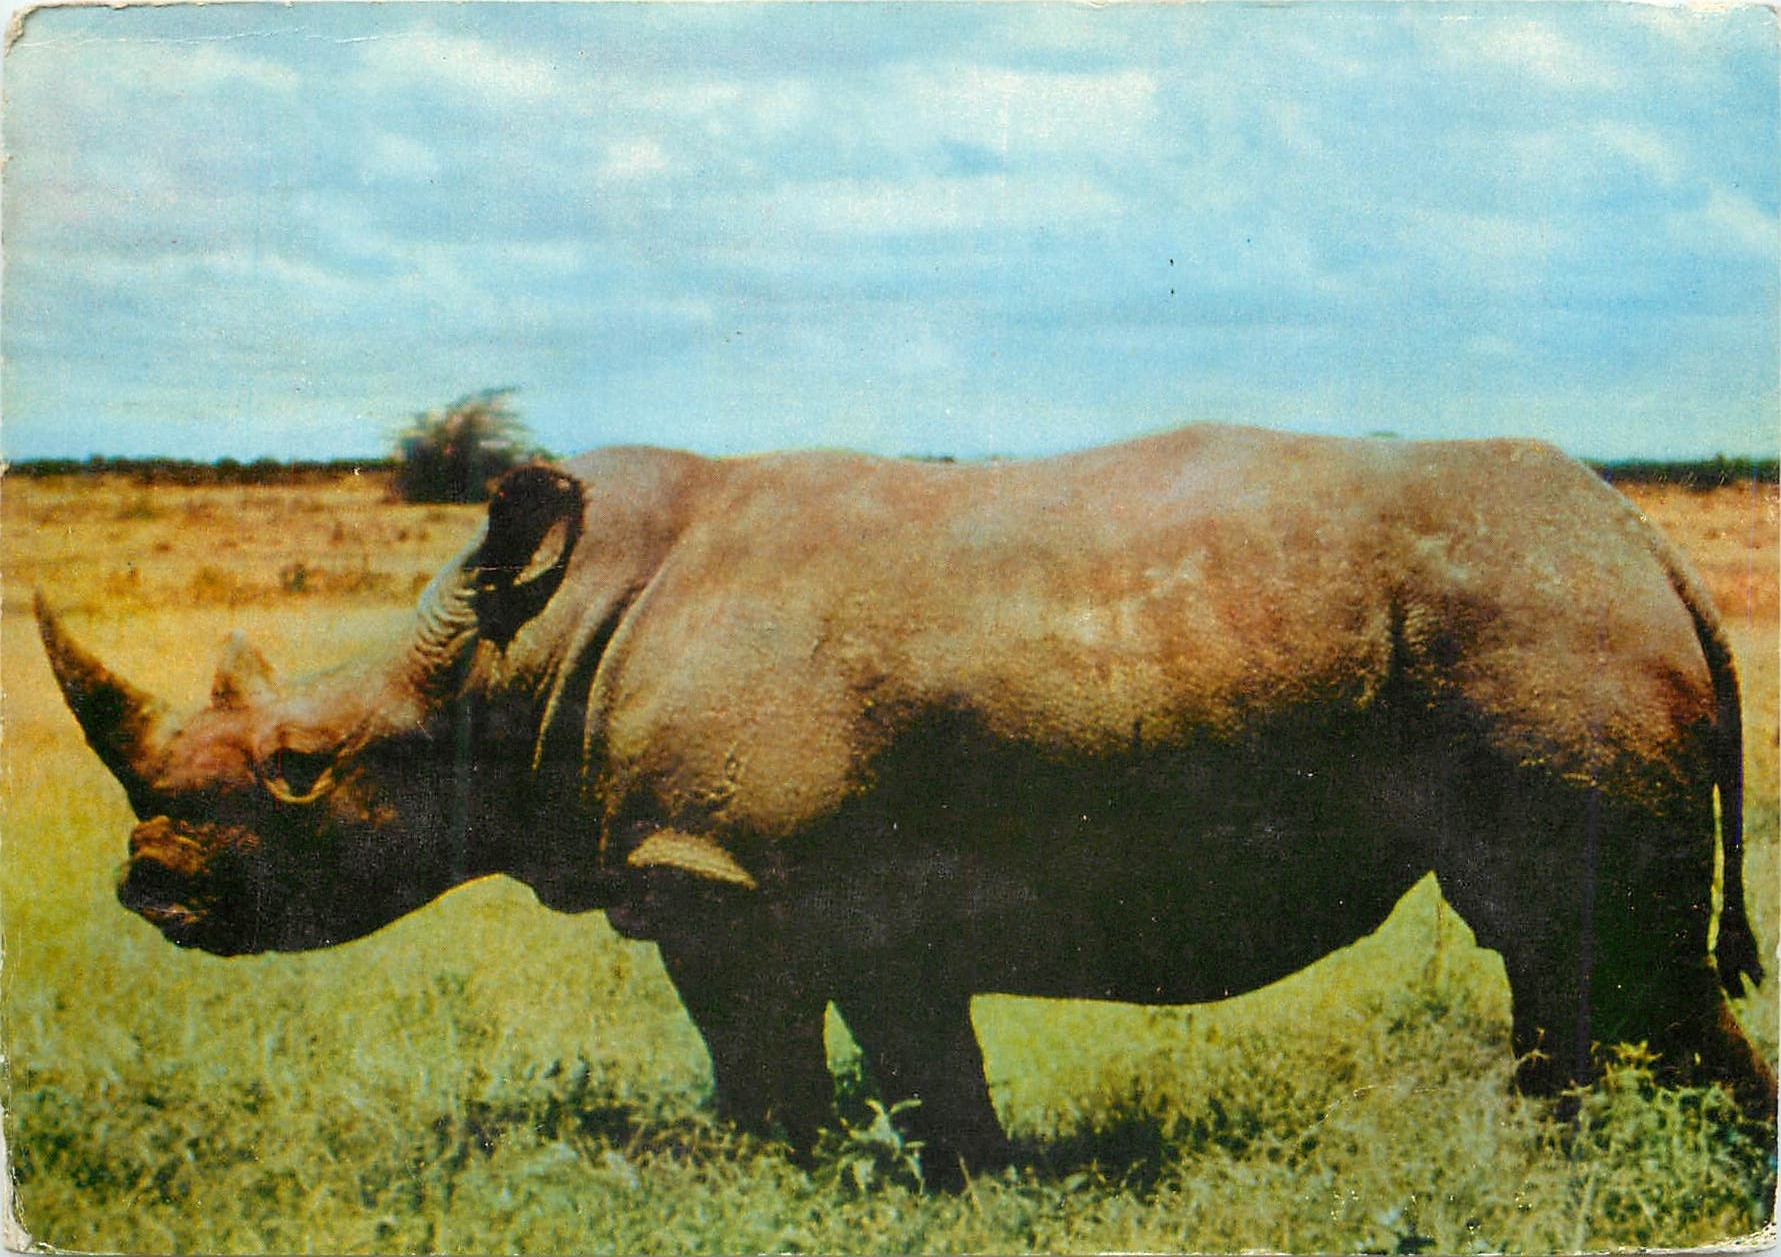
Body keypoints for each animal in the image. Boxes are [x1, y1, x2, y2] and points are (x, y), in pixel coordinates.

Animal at [39, 424, 1776, 1185]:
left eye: (301, 772)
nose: (152, 894)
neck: (517, 657)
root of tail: (1645, 542)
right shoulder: (847, 886)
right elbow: (921, 1051)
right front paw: (966, 1180)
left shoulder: (715, 872)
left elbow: (758, 1052)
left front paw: (766, 1181)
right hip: (1553, 625)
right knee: (1560, 952)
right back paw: (1590, 1161)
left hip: (1543, 637)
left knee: (1579, 937)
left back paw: (1624, 1172)